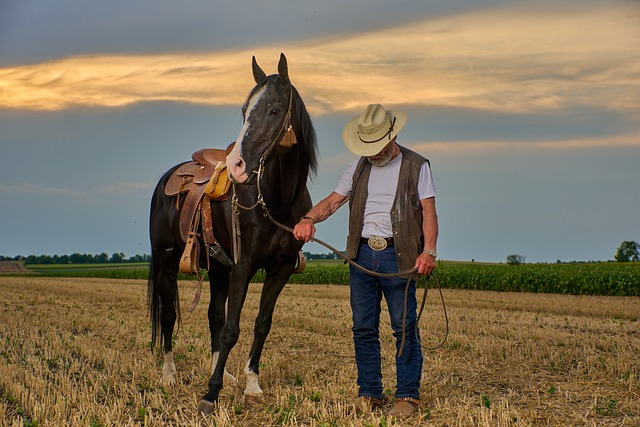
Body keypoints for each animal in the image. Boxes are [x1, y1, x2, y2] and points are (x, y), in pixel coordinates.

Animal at [150, 53, 320, 414]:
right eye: (244, 111)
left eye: (274, 110)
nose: (237, 166)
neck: (277, 201)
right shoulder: (243, 266)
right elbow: (231, 328)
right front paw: (210, 394)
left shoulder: (281, 269)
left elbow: (260, 324)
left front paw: (251, 384)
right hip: (167, 260)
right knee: (169, 315)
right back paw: (170, 374)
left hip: (217, 269)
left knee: (213, 315)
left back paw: (223, 373)